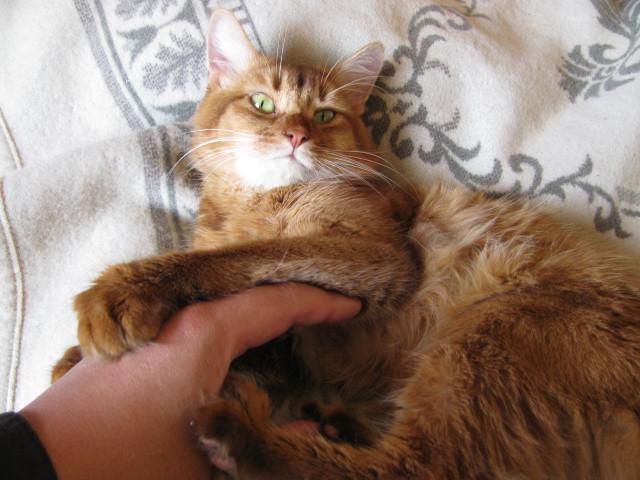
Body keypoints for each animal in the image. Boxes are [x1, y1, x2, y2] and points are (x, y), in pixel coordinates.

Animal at [55, 9, 640, 480]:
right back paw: (333, 423)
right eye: (263, 103)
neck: (256, 202)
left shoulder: (381, 260)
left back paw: (243, 437)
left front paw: (126, 291)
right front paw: (70, 361)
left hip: (495, 332)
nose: (296, 136)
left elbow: (240, 258)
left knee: (418, 467)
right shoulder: (293, 345)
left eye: (324, 115)